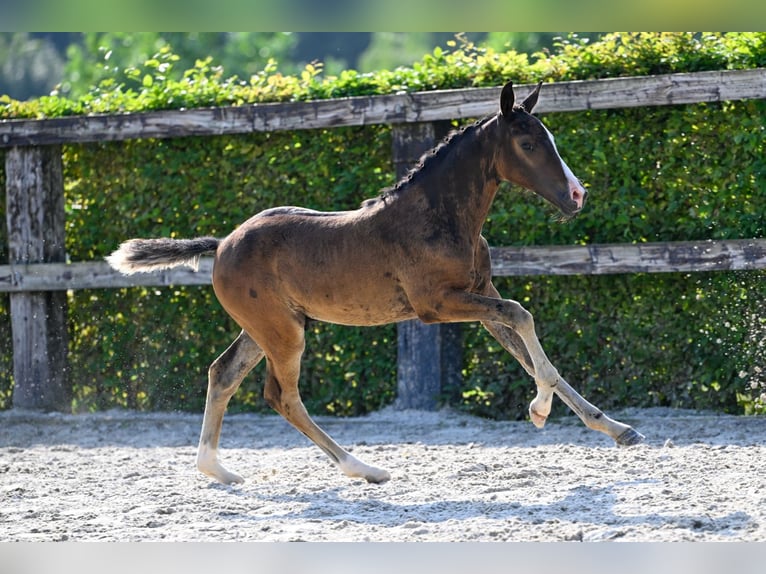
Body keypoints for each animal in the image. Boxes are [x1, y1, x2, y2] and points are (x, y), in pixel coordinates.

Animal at [108, 81, 644, 486]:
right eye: (529, 144)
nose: (577, 195)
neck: (441, 217)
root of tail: (222, 243)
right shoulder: (436, 305)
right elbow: (523, 316)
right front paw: (539, 407)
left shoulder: (481, 293)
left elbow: (524, 345)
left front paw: (618, 429)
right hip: (284, 332)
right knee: (281, 395)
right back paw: (362, 468)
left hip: (266, 327)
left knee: (223, 374)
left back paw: (217, 470)